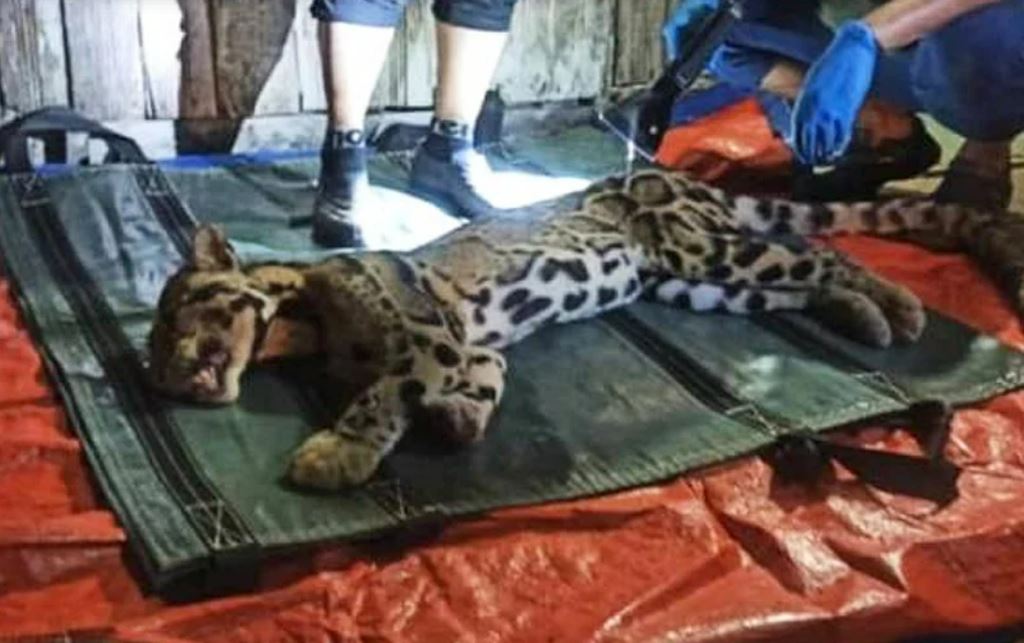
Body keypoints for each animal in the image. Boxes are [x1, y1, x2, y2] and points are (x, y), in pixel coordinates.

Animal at [147, 167, 1024, 491]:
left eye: (179, 312)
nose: (164, 372)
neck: (304, 328)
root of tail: (679, 174)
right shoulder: (473, 347)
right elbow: (483, 384)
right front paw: (460, 418)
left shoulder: (428, 341)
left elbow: (381, 396)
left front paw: (338, 451)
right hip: (699, 283)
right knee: (798, 279)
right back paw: (865, 313)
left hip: (702, 247)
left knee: (821, 251)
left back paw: (896, 306)